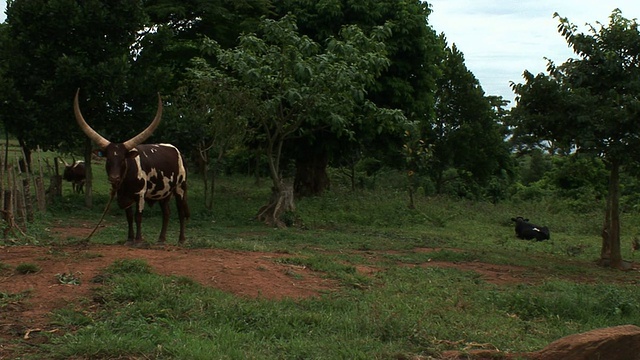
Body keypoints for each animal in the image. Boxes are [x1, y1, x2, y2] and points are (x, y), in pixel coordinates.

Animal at [74, 89, 190, 246]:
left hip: (180, 188)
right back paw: (161, 239)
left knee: (180, 212)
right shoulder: (124, 196)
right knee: (166, 213)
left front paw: (138, 239)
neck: (125, 180)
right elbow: (129, 217)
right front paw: (129, 238)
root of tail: (177, 151)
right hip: (164, 192)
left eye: (123, 159)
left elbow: (137, 216)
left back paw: (181, 239)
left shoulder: (140, 194)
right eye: (108, 159)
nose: (114, 177)